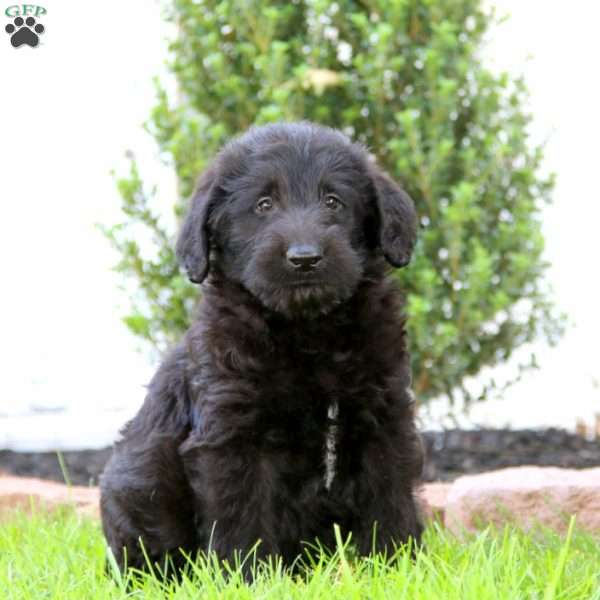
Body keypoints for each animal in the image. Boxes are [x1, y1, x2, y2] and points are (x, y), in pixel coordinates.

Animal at [101, 120, 424, 572]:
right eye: (264, 205)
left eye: (333, 201)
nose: (305, 258)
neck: (308, 332)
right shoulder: (233, 434)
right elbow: (240, 510)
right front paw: (247, 574)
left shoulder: (385, 414)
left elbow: (389, 495)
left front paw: (394, 564)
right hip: (137, 486)